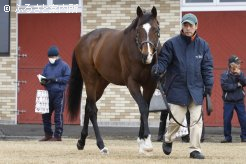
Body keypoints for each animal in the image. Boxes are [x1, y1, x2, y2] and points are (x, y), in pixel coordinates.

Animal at [67, 5, 161, 154]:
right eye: (138, 30)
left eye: (156, 30)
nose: (147, 56)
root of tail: (83, 40)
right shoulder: (132, 83)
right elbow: (143, 107)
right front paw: (147, 142)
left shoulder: (149, 85)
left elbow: (144, 108)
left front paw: (142, 142)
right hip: (90, 79)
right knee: (92, 109)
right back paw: (101, 145)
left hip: (101, 83)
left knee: (88, 106)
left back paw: (81, 142)